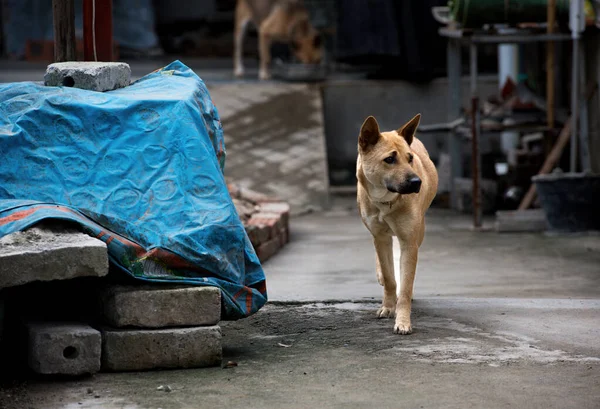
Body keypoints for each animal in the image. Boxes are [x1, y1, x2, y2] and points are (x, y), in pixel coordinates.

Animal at [356, 113, 436, 334]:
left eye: (410, 158)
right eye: (389, 159)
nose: (417, 183)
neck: (386, 201)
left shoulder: (409, 240)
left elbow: (406, 285)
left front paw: (402, 320)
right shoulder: (380, 237)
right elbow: (389, 276)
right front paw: (388, 306)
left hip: (419, 233)